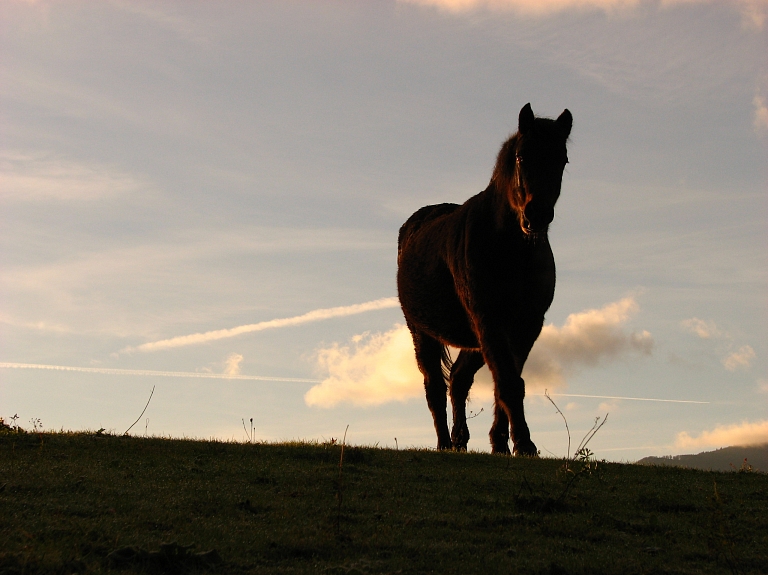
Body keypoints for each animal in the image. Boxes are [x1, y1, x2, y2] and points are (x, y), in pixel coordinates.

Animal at [396, 102, 568, 454]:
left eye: (563, 160)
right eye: (521, 156)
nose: (537, 216)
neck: (511, 248)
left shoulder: (526, 326)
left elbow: (508, 380)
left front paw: (502, 443)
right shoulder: (489, 319)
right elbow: (509, 383)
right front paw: (525, 444)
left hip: (474, 339)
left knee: (459, 380)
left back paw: (461, 440)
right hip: (422, 332)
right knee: (435, 388)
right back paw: (444, 443)